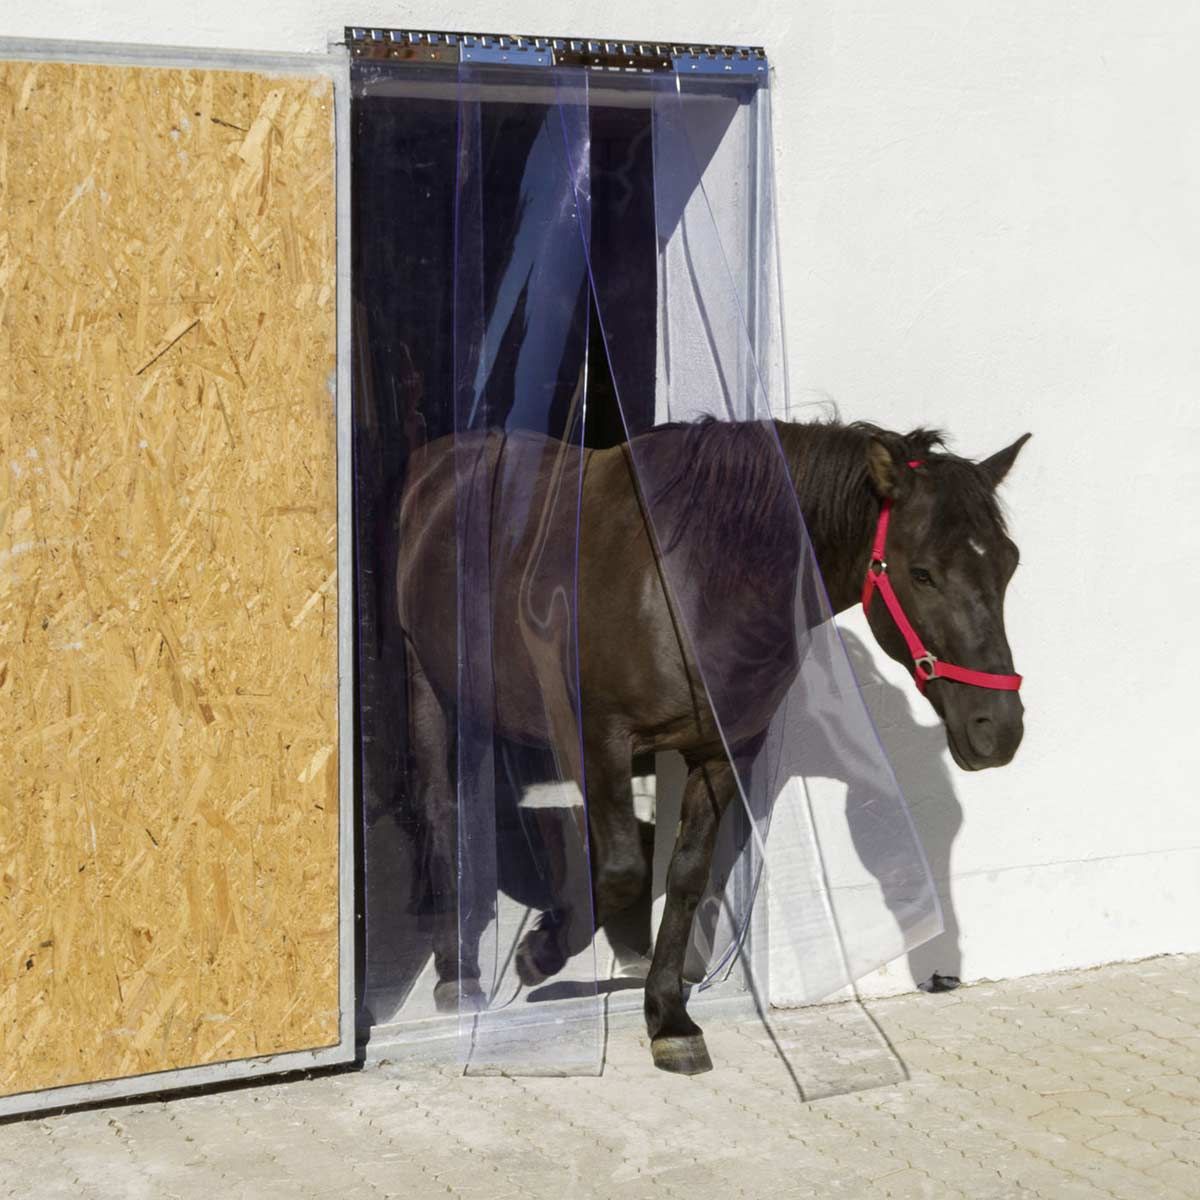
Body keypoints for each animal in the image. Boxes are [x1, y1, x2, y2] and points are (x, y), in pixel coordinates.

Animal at [394, 416, 1030, 1074]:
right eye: (923, 572)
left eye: (1009, 564)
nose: (997, 728)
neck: (693, 582)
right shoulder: (600, 736)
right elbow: (623, 870)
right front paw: (539, 953)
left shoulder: (720, 754)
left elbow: (686, 877)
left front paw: (668, 1017)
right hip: (428, 683)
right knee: (441, 810)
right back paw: (457, 975)